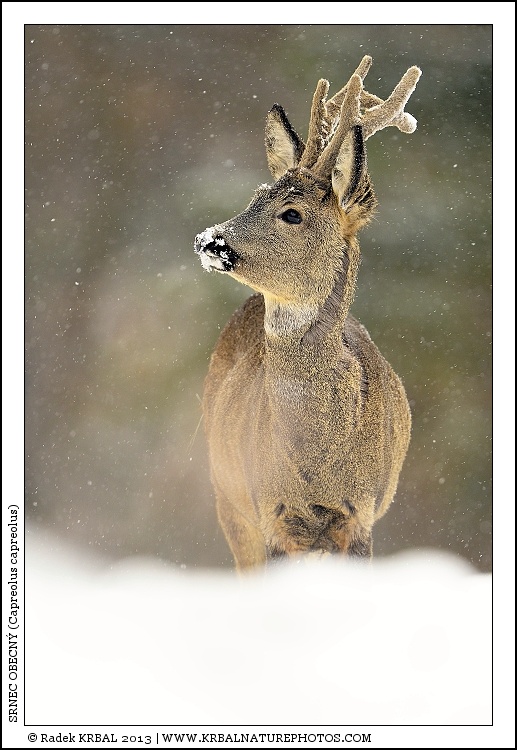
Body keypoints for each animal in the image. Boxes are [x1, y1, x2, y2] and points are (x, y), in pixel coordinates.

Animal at [194, 56, 421, 570]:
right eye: (254, 196)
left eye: (292, 213)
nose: (209, 240)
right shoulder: (269, 510)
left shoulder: (359, 514)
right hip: (226, 497)